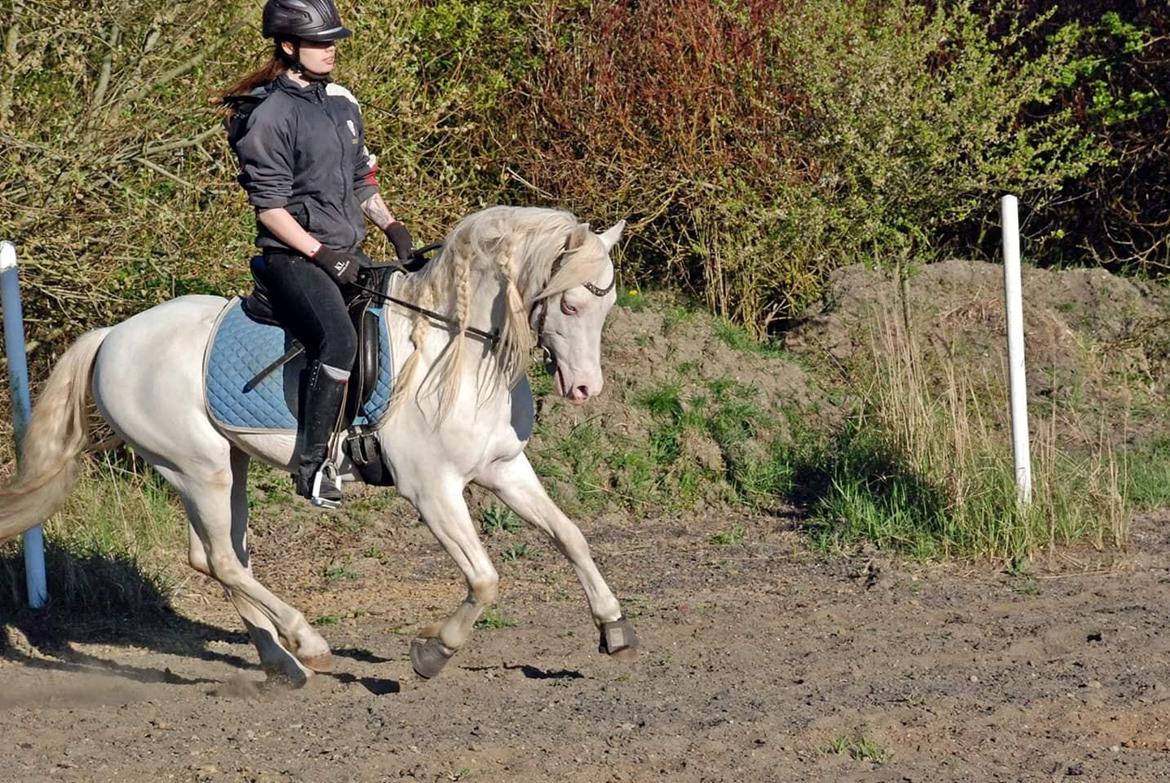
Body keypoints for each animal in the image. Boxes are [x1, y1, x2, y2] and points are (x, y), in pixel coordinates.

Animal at [0, 205, 641, 683]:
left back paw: (280, 663)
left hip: (221, 464)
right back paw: (307, 643)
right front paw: (432, 652)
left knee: (214, 558)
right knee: (225, 561)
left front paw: (613, 627)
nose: (586, 389)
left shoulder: (504, 467)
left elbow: (571, 535)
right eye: (571, 302)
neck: (454, 349)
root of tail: (113, 336)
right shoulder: (431, 489)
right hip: (196, 468)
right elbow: (484, 578)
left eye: (607, 304)